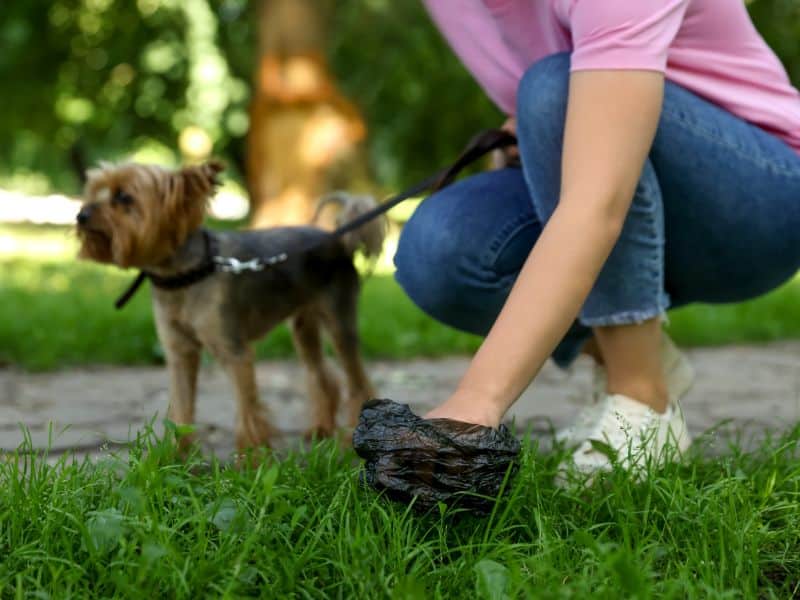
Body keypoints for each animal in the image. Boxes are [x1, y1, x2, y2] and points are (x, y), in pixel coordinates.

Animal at [76, 162, 386, 452]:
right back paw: (321, 430)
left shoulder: (233, 351)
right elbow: (181, 409)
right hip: (303, 327)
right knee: (323, 377)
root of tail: (338, 238)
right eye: (94, 191)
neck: (184, 276)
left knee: (358, 382)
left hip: (338, 322)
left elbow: (247, 409)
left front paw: (250, 458)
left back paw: (350, 438)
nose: (81, 215)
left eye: (124, 197)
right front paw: (175, 457)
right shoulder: (180, 353)